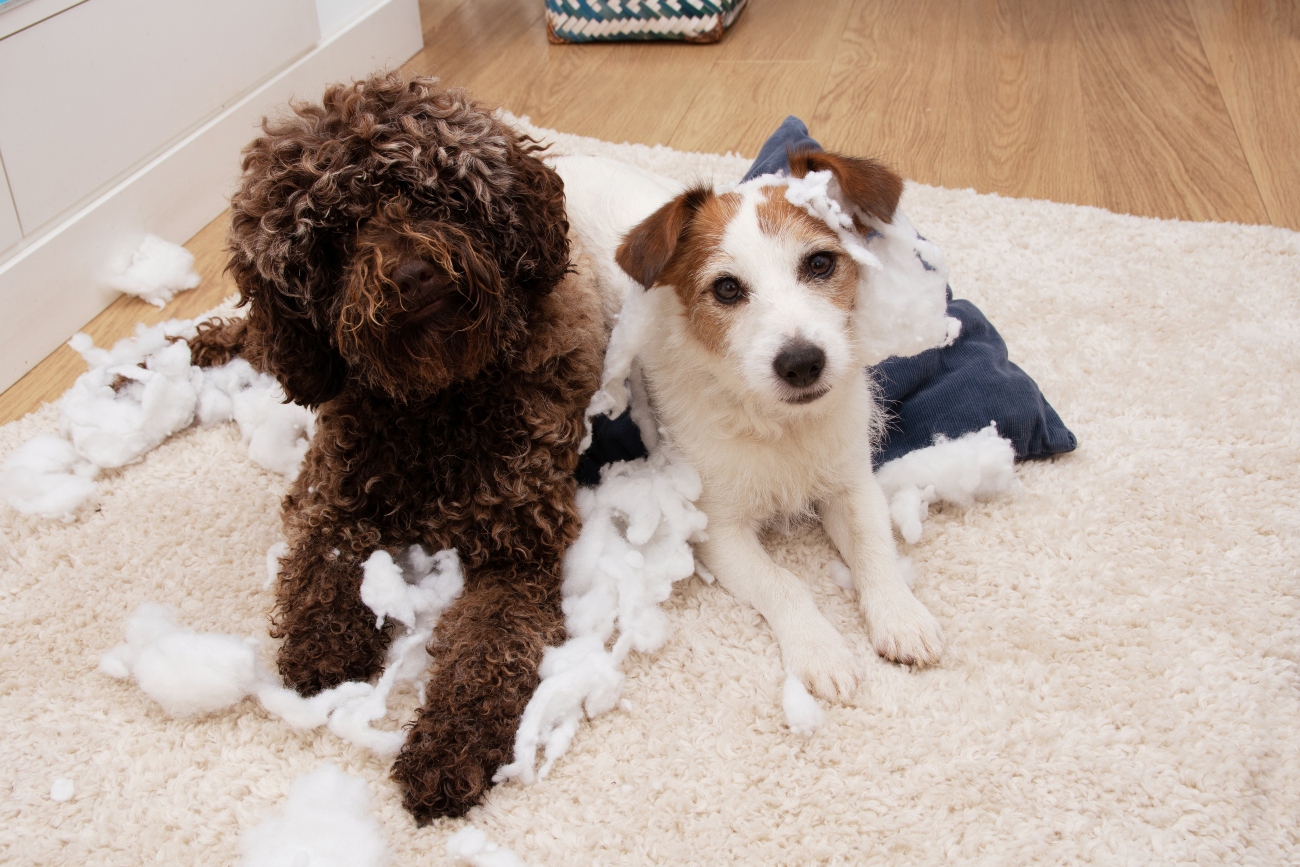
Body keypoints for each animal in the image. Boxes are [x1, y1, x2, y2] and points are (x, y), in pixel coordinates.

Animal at [189, 72, 605, 821]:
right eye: (332, 234)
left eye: (434, 193)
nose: (412, 274)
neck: (436, 402)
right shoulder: (334, 490)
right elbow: (322, 562)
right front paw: (324, 645)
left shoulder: (517, 554)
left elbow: (487, 650)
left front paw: (449, 748)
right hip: (292, 356)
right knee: (260, 337)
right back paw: (198, 345)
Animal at [556, 150, 946, 707]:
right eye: (726, 288)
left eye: (820, 263)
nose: (802, 363)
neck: (779, 423)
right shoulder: (718, 529)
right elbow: (783, 584)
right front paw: (821, 651)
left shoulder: (852, 485)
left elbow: (875, 550)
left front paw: (902, 617)